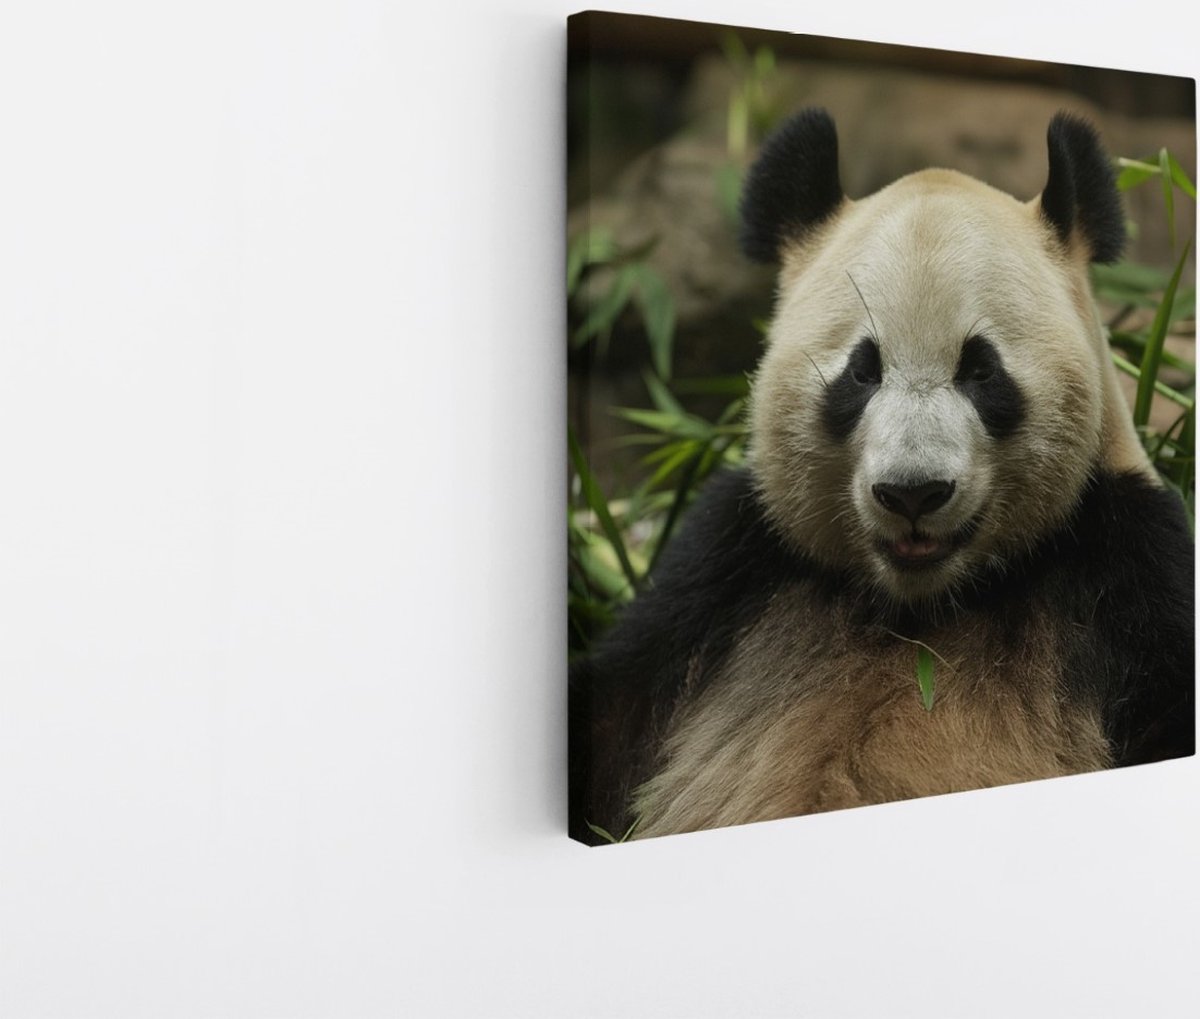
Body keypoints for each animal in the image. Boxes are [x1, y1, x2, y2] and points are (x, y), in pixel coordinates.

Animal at [569, 109, 1195, 845]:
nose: (912, 492)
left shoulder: (1128, 563)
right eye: (862, 371)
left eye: (980, 370)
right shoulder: (729, 564)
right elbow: (609, 706)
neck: (922, 605)